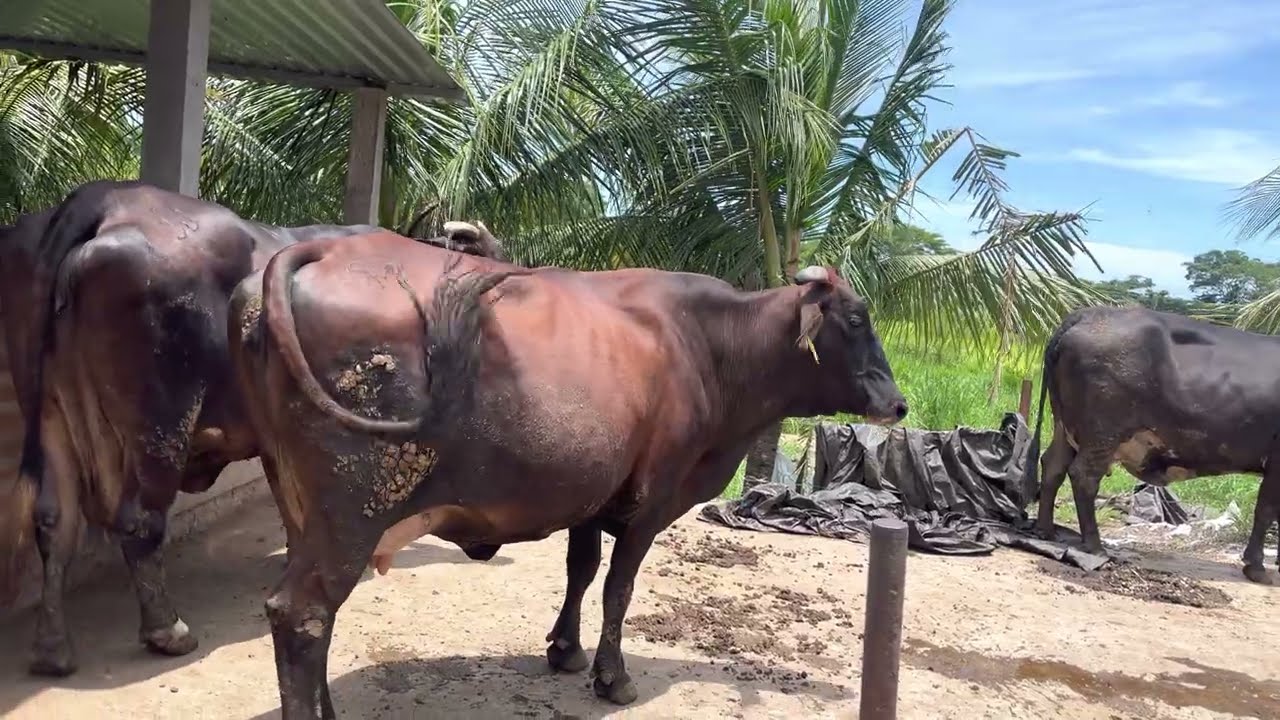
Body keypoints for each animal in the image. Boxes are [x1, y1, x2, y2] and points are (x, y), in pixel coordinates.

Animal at [0, 179, 503, 677]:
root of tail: (104, 200)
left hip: (50, 412)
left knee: (53, 521)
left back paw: (52, 649)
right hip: (160, 423)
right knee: (138, 521)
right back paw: (168, 631)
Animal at [227, 230, 908, 719]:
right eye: (855, 319)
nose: (899, 404)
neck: (709, 346)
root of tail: (323, 247)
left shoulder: (593, 492)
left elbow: (580, 570)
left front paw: (566, 650)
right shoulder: (651, 501)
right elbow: (618, 587)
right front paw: (613, 676)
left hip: (299, 506)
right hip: (351, 513)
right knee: (301, 615)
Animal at [1025, 305, 1280, 585]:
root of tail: (1091, 314)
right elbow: (1266, 511)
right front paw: (1256, 567)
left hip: (1066, 427)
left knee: (1053, 466)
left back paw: (1046, 530)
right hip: (1102, 433)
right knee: (1083, 476)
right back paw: (1095, 546)